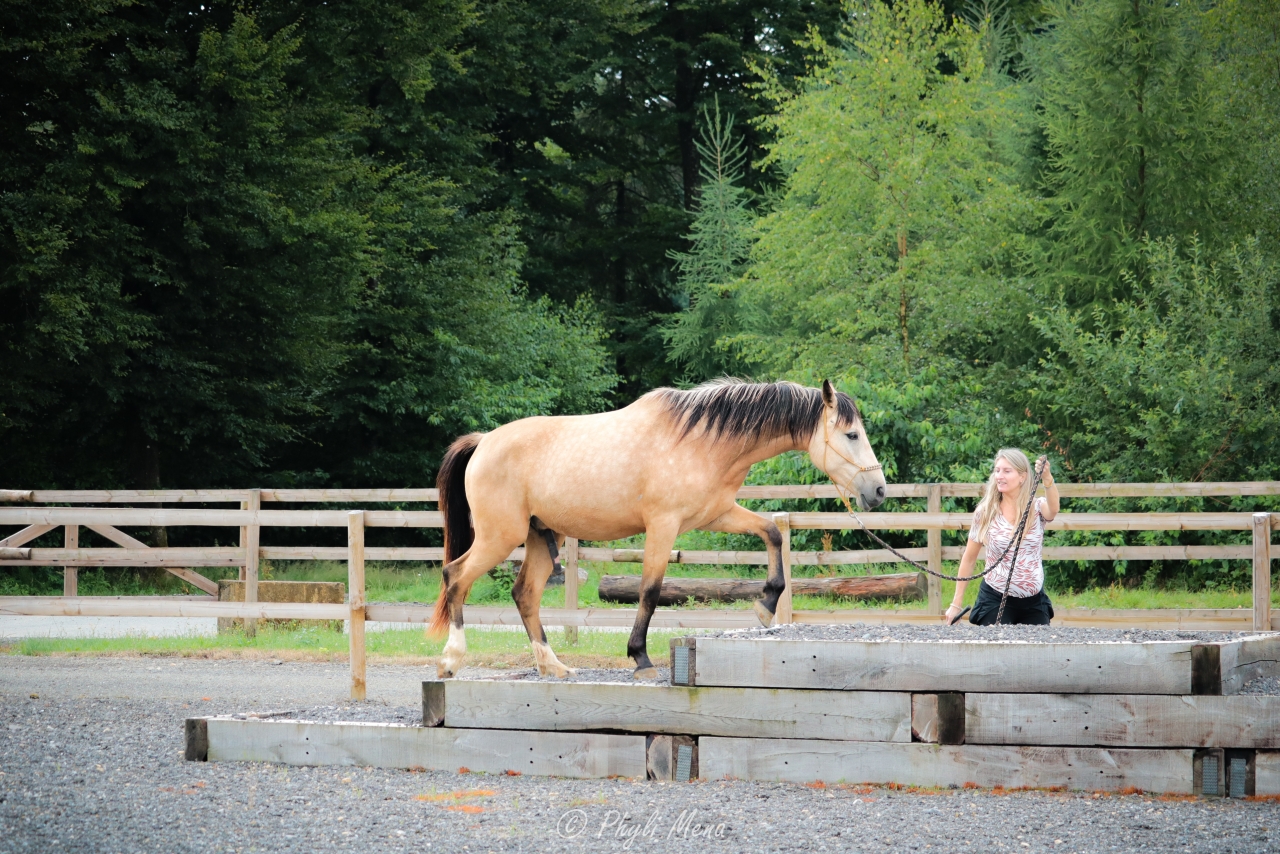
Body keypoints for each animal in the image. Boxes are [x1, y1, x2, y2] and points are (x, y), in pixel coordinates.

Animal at [427, 378, 887, 679]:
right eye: (851, 434)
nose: (879, 491)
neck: (703, 441)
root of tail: (484, 442)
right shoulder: (663, 526)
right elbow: (650, 590)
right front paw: (641, 658)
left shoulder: (717, 514)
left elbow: (772, 533)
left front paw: (766, 604)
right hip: (499, 536)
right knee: (455, 577)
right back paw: (451, 659)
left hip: (542, 537)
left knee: (524, 594)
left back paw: (552, 665)